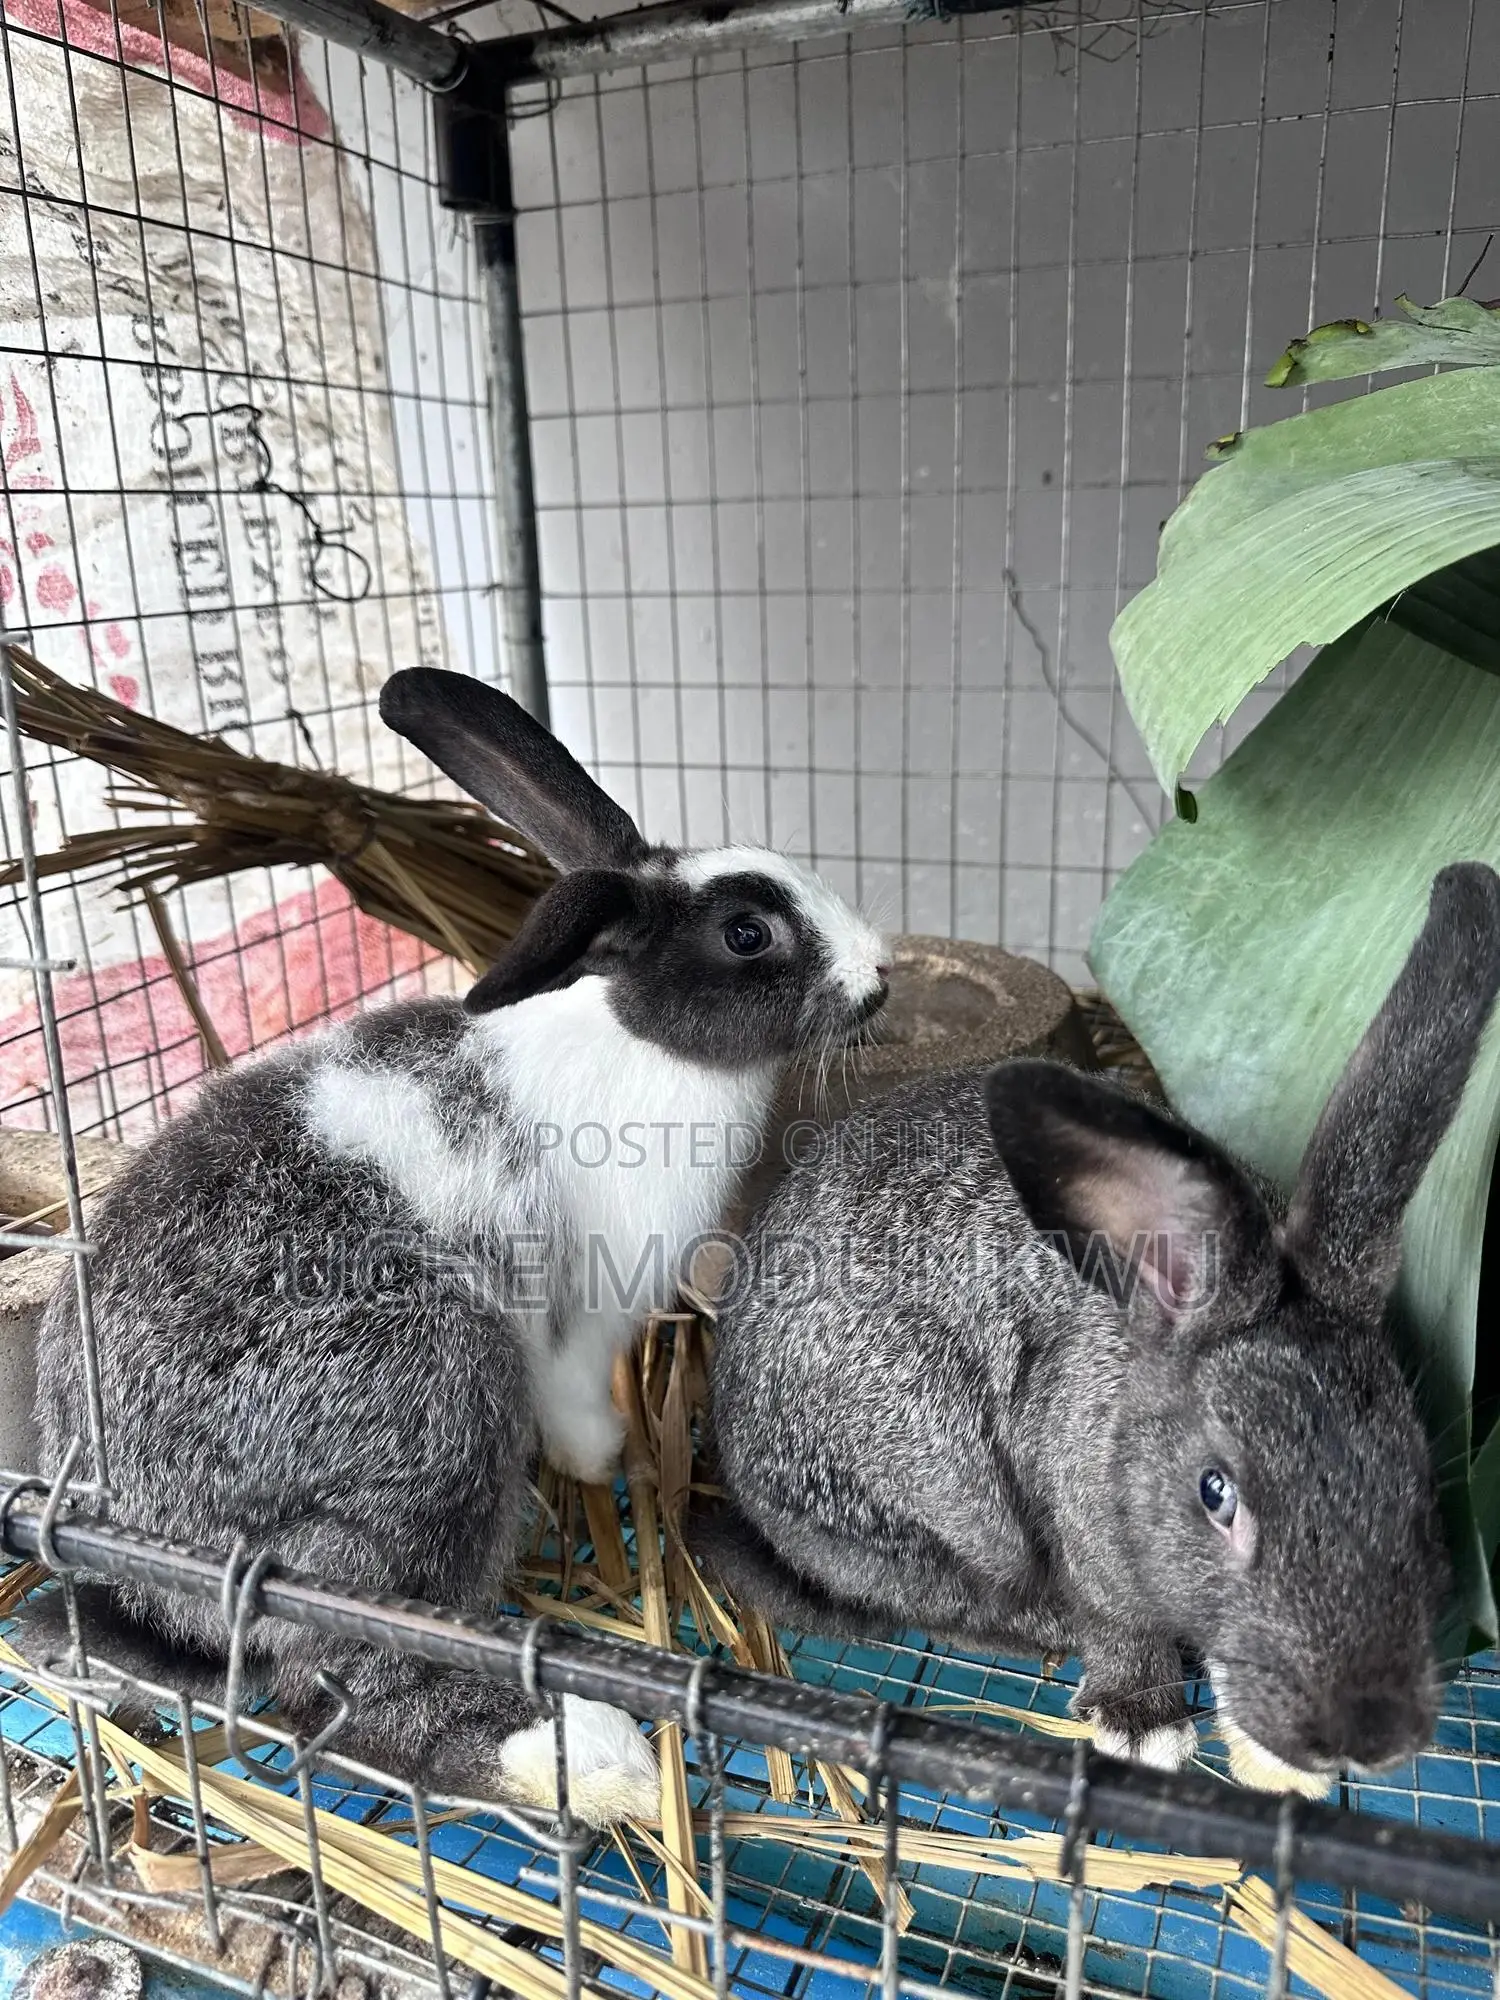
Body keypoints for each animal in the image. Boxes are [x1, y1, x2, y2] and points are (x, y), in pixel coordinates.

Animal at [22, 667, 889, 1824]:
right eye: (749, 933)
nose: (881, 976)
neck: (642, 1046)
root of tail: (145, 1553)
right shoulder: (580, 1317)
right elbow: (577, 1405)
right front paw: (606, 1462)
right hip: (435, 1404)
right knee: (351, 1686)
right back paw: (584, 1757)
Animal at [694, 863, 1500, 1795]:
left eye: (1414, 1477)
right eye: (1216, 1492)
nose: (1370, 1733)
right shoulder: (1089, 1539)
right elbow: (1119, 1627)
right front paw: (1143, 1724)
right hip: (940, 1490)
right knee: (942, 1600)